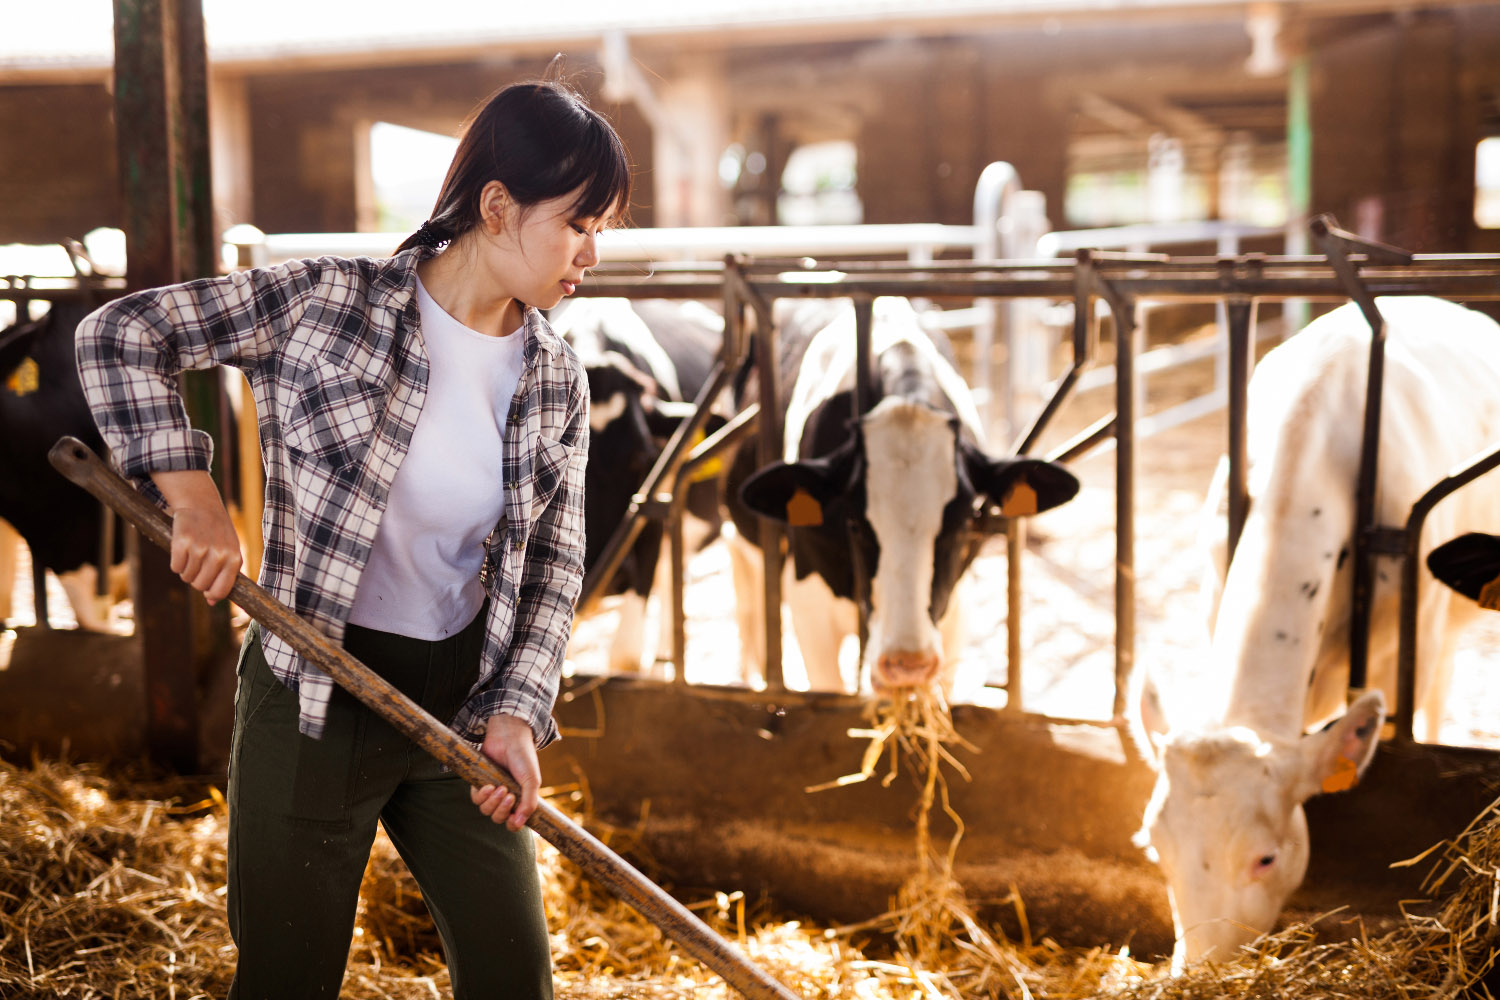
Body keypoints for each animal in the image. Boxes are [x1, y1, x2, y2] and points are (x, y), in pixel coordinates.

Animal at [726, 296, 1080, 695]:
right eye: (854, 524)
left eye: (963, 523)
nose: (908, 664)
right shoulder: (808, 604)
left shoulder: (956, 609)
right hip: (743, 537)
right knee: (750, 592)